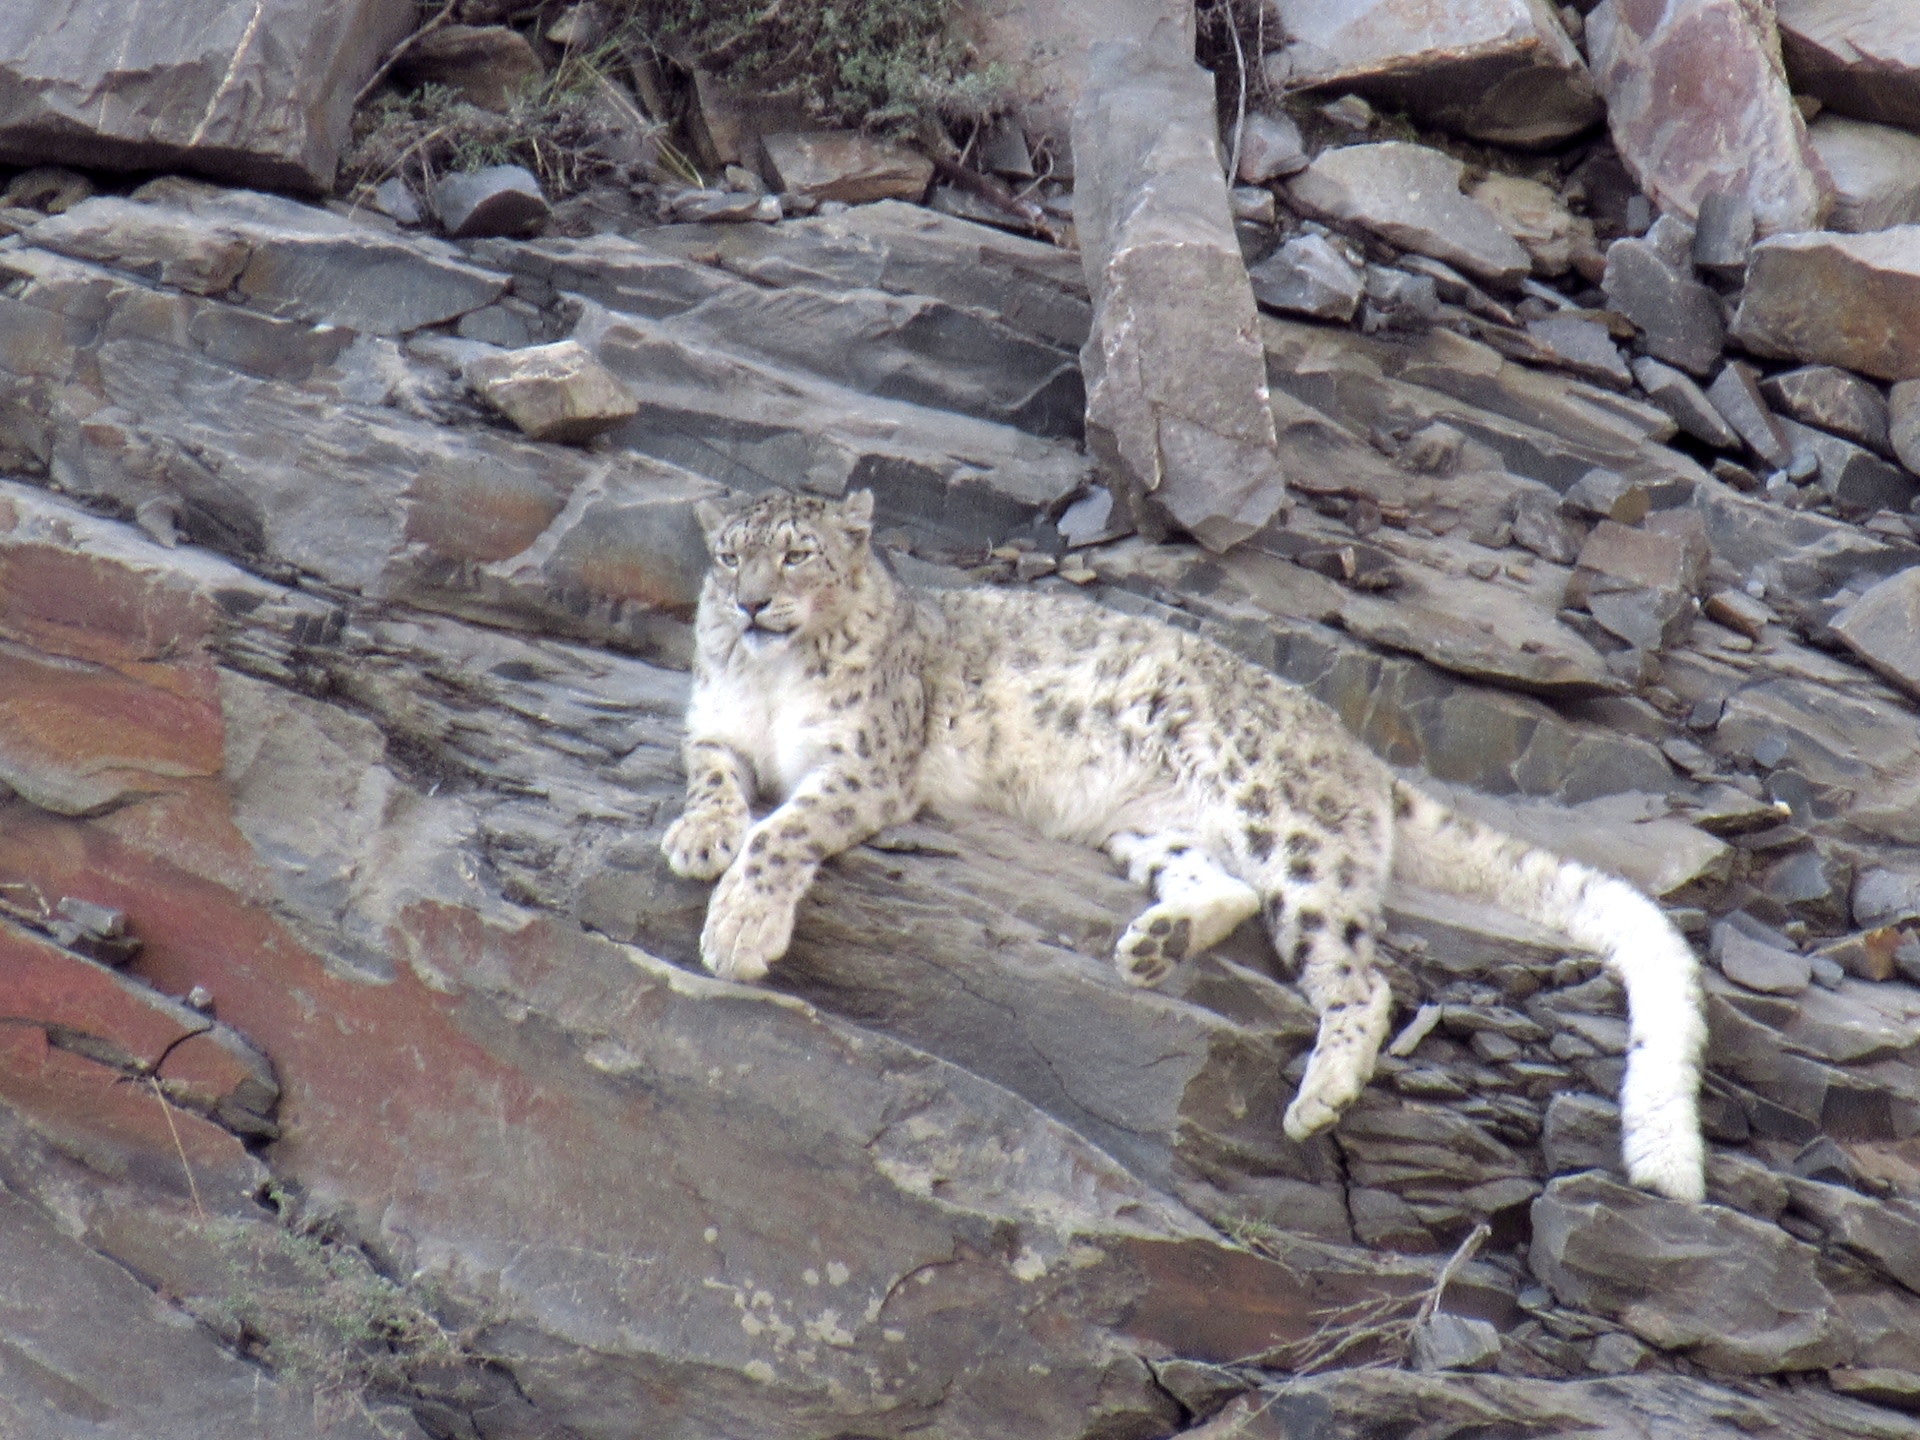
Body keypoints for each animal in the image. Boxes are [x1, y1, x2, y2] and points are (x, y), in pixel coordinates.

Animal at [663, 488, 1708, 1203]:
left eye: (796, 554)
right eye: (728, 555)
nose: (750, 606)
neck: (767, 685)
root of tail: (1359, 752)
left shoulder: (864, 763)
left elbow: (784, 830)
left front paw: (739, 929)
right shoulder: (714, 726)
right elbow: (713, 777)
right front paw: (697, 837)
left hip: (1281, 825)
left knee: (1359, 978)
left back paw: (1318, 1096)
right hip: (1153, 827)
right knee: (1229, 892)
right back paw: (1156, 944)